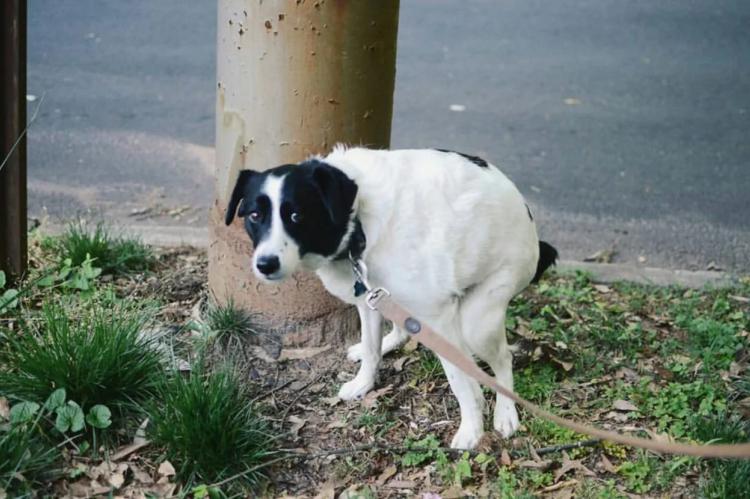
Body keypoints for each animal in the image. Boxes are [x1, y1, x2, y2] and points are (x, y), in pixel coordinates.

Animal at [225, 146, 560, 452]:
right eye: (254, 215)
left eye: (297, 215)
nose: (266, 264)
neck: (358, 221)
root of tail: (531, 225)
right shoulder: (367, 298)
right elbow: (373, 349)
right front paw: (364, 382)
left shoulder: (438, 317)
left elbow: (459, 381)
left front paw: (472, 429)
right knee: (406, 333)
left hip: (480, 318)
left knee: (502, 359)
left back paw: (506, 412)